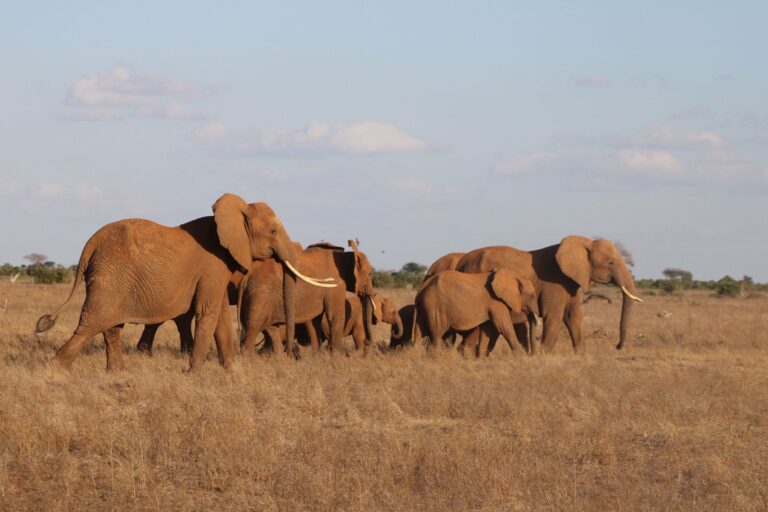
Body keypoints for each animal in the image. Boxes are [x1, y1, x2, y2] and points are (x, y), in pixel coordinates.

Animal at [35, 193, 335, 371]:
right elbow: (208, 313)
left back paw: (116, 372)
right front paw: (195, 372)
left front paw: (230, 371)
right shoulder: (213, 264)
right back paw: (55, 370)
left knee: (111, 327)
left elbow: (220, 317)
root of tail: (89, 243)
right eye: (273, 231)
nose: (292, 355)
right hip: (110, 275)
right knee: (91, 324)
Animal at [240, 240, 376, 355]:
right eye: (370, 273)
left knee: (269, 328)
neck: (346, 256)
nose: (366, 342)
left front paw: (316, 357)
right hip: (262, 294)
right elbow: (335, 316)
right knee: (254, 326)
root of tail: (248, 273)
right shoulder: (335, 285)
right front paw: (336, 358)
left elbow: (314, 320)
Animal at [455, 237, 643, 354]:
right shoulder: (555, 283)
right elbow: (554, 317)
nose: (617, 346)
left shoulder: (571, 282)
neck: (585, 242)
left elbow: (574, 317)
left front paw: (581, 357)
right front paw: (543, 357)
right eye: (611, 263)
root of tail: (460, 262)